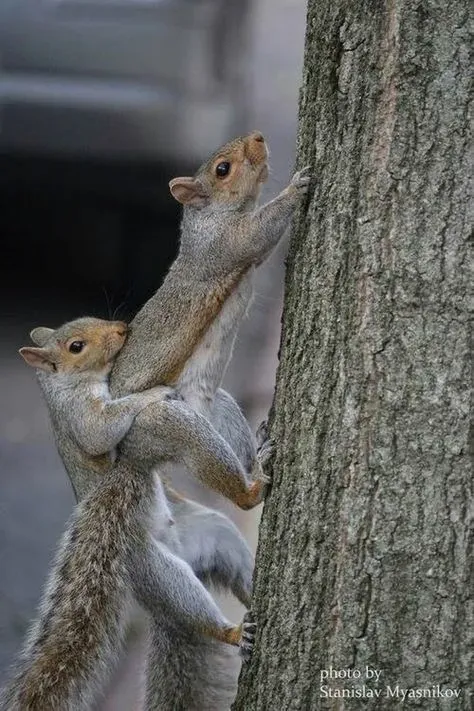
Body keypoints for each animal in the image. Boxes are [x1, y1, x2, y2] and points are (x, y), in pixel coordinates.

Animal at [2, 317, 256, 710]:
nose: (122, 329)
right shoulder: (82, 416)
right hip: (152, 568)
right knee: (193, 610)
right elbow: (103, 430)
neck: (63, 385)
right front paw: (152, 393)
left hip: (215, 534)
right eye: (76, 346)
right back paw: (232, 629)